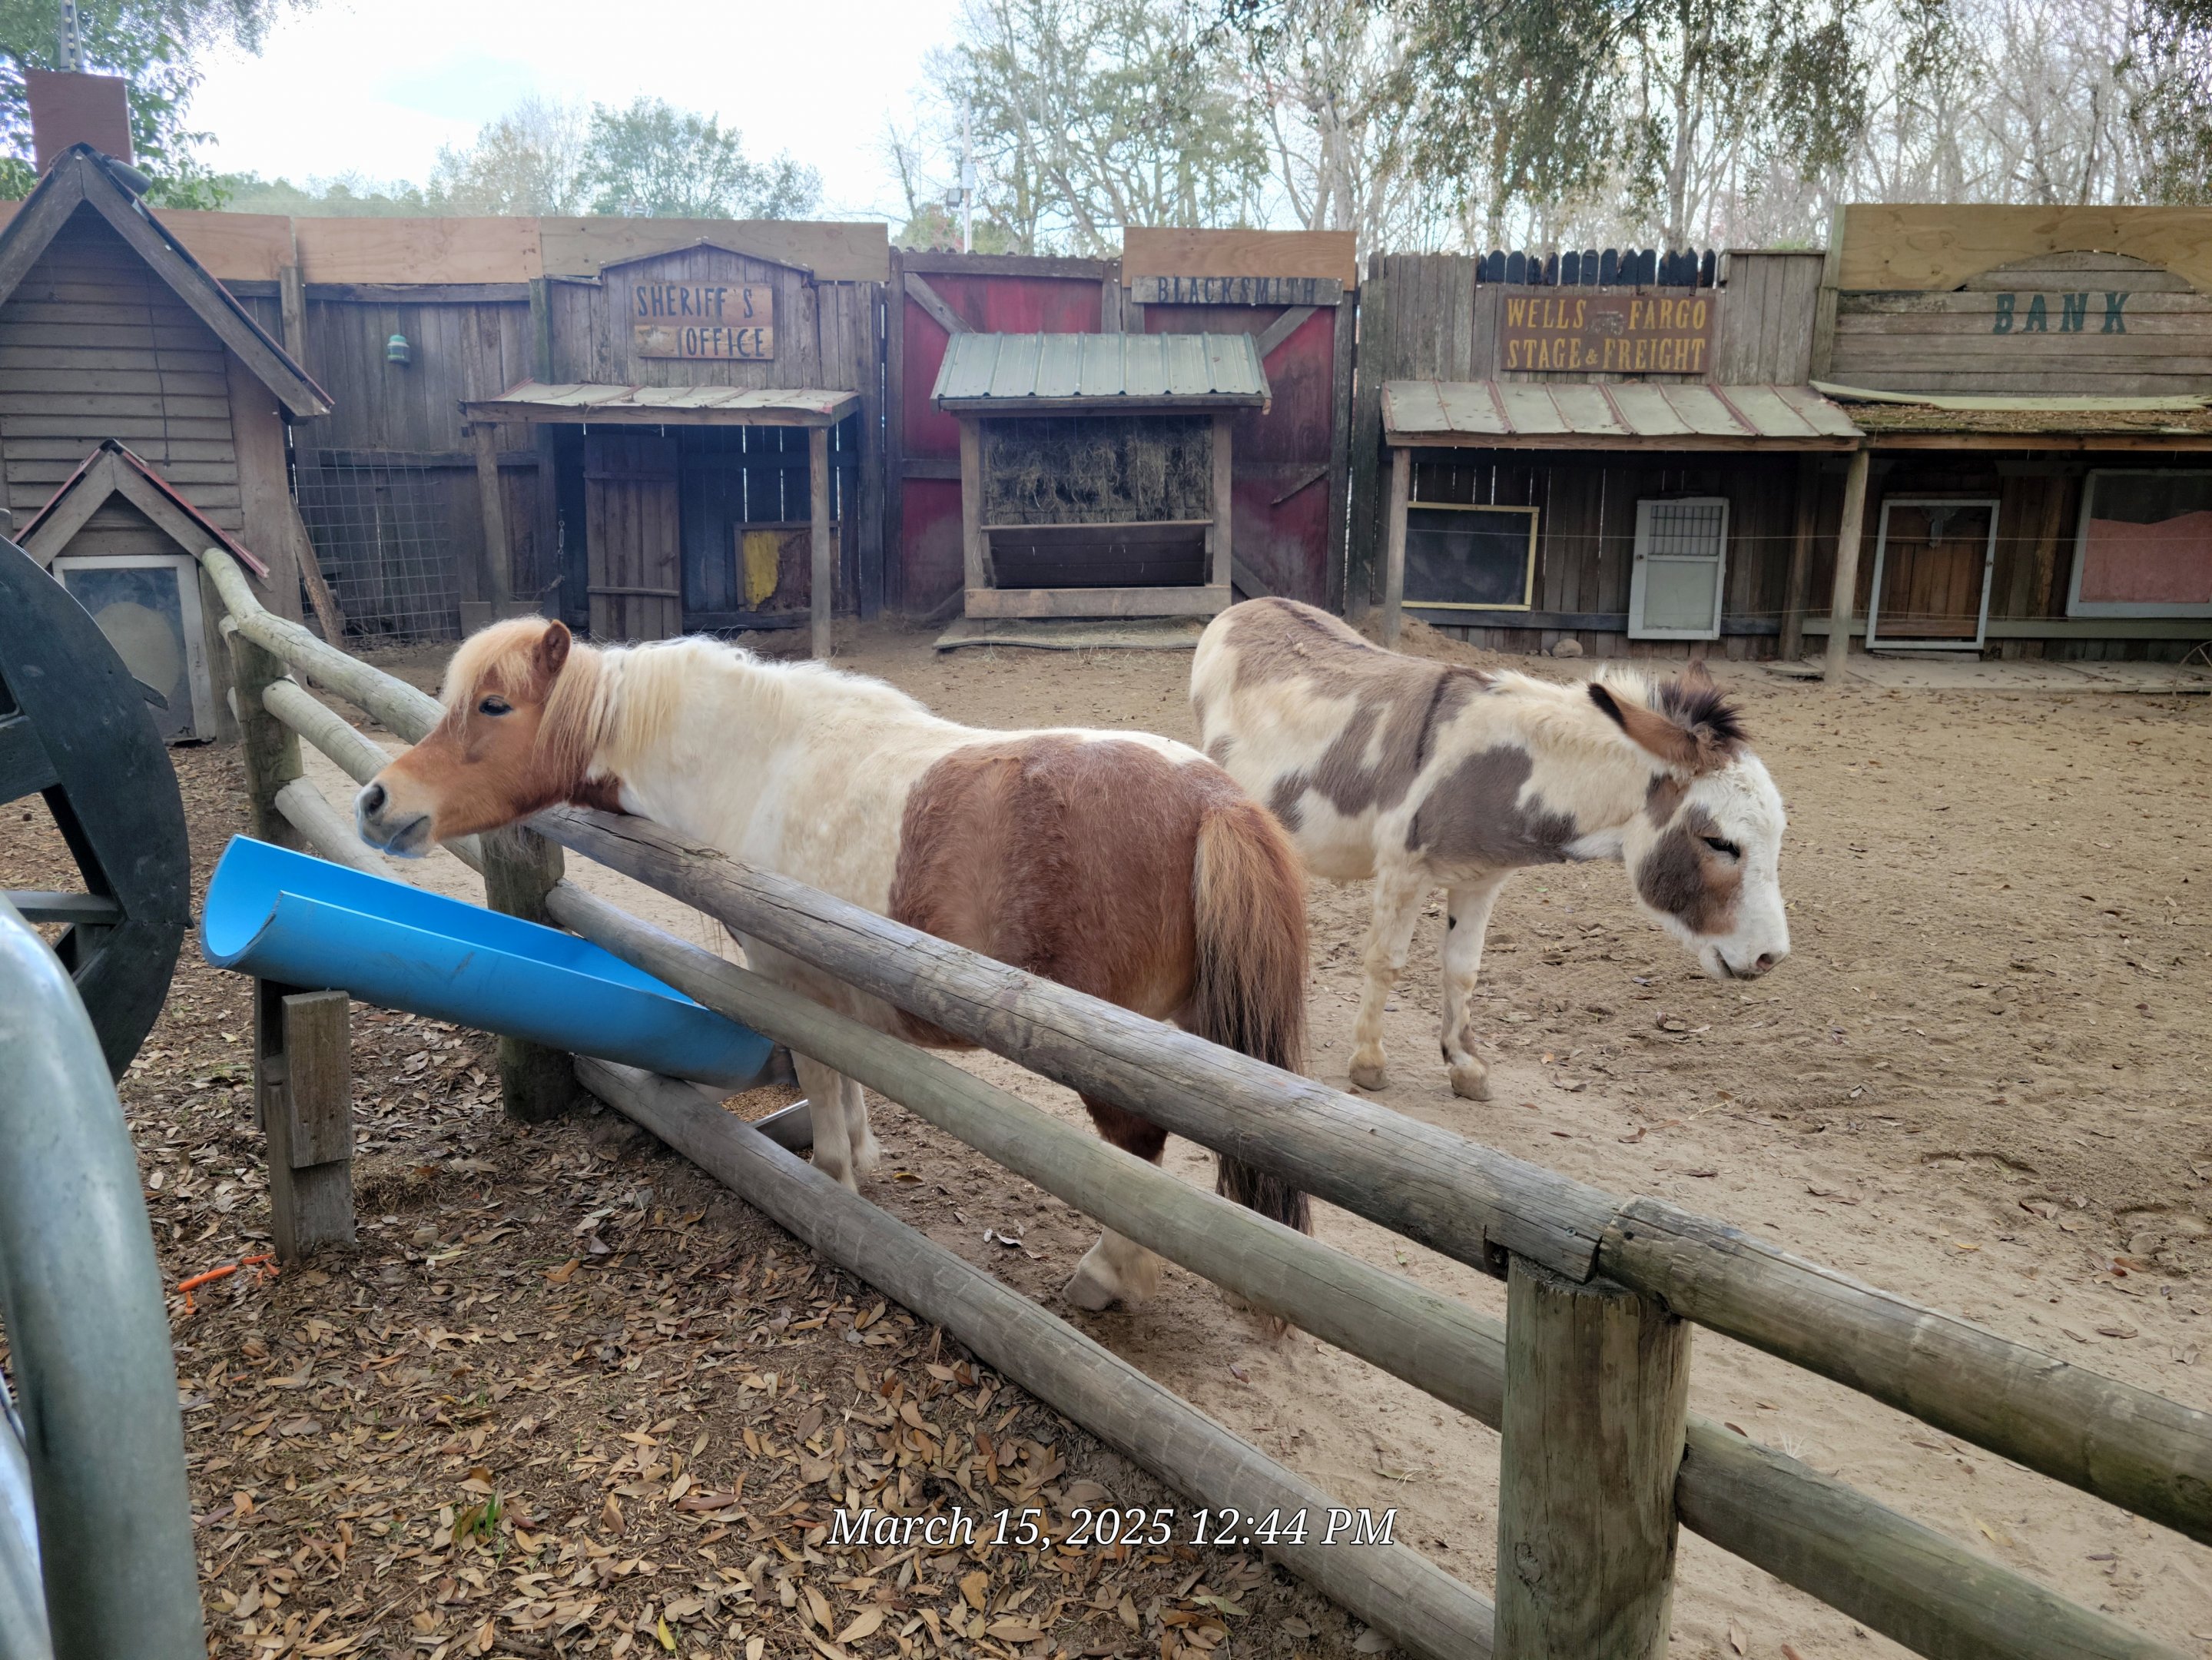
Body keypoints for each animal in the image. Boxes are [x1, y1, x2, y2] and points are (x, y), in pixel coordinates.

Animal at [353, 619, 1310, 1312]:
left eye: (493, 706)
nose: (377, 800)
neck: (756, 762)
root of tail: (1214, 799)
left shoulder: (793, 983)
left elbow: (820, 1081)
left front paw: (834, 1184)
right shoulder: (835, 986)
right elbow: (846, 1082)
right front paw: (861, 1160)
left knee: (1135, 1160)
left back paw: (1107, 1281)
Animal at [1190, 597, 1788, 1101]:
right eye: (1719, 843)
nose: (1771, 958)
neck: (1502, 769)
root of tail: (1248, 604)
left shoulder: (1481, 881)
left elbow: (1463, 969)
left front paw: (1465, 1067)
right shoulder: (1403, 871)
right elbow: (1386, 961)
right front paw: (1368, 1063)